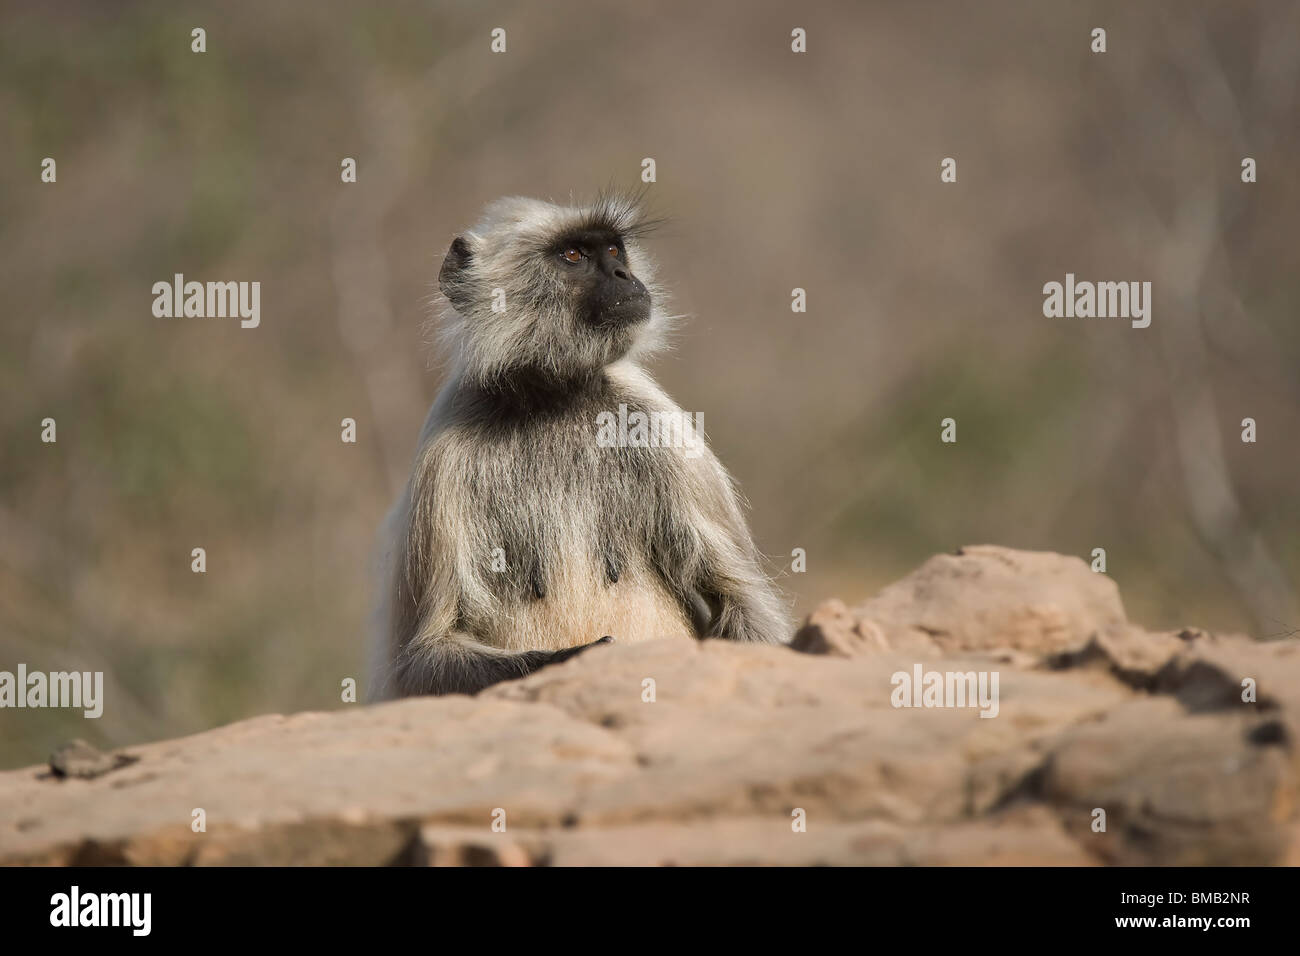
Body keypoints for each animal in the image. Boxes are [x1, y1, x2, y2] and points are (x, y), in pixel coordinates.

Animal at [371, 195, 785, 697]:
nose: (624, 275)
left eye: (614, 250)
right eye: (573, 255)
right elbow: (421, 659)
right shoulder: (442, 456)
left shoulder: (658, 425)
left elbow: (741, 605)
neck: (551, 402)